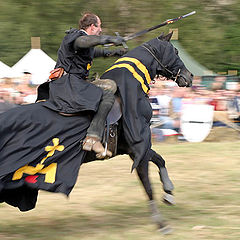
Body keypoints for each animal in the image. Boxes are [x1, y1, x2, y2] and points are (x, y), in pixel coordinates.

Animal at [0, 31, 192, 234]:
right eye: (175, 51)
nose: (189, 76)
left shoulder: (133, 150)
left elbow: (160, 160)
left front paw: (169, 192)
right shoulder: (138, 149)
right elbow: (148, 186)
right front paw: (162, 224)